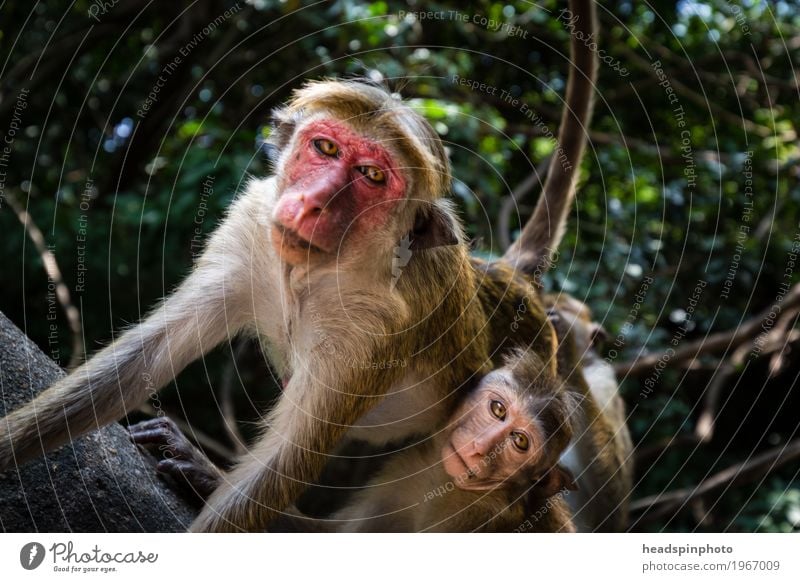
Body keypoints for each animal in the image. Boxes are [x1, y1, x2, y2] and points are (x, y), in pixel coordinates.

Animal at [134, 352, 580, 532]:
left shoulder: (474, 519)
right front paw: (203, 472)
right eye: (498, 409)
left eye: (520, 442)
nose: (479, 448)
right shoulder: (407, 473)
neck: (446, 485)